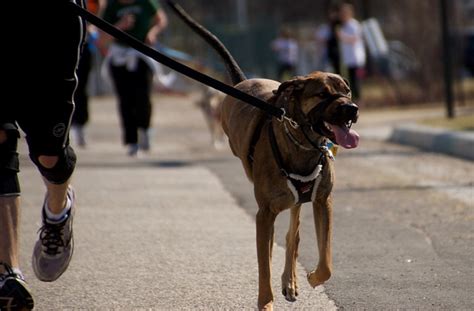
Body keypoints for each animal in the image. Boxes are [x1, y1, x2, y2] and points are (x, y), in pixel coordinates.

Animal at [167, 1, 360, 310]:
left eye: (347, 90)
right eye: (322, 94)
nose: (352, 109)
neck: (303, 142)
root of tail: (243, 82)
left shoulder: (323, 202)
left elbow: (326, 261)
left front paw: (313, 277)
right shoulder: (264, 214)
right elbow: (263, 266)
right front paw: (266, 302)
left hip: (298, 202)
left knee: (293, 234)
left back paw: (291, 280)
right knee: (281, 239)